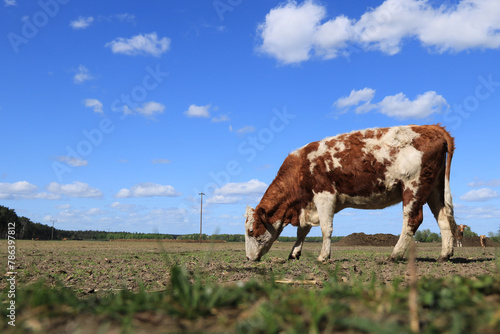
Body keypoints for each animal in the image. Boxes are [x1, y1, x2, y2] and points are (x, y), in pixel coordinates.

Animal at [244, 124, 458, 262]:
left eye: (251, 231)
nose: (248, 258)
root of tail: (431, 127)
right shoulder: (308, 204)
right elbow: (302, 231)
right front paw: (294, 253)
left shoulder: (324, 195)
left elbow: (325, 228)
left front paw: (323, 256)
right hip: (435, 189)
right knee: (443, 218)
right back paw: (444, 255)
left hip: (413, 188)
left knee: (412, 220)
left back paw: (394, 255)